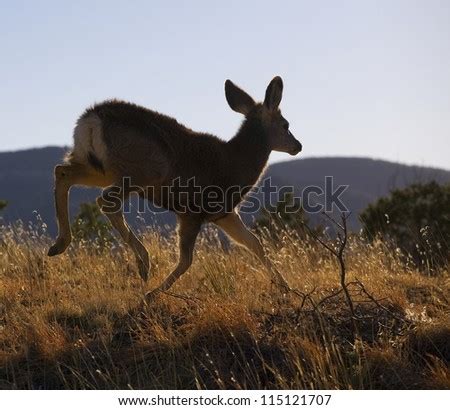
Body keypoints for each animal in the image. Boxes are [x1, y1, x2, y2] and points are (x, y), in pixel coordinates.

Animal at [47, 77, 302, 298]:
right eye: (285, 124)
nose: (298, 145)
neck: (237, 163)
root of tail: (92, 118)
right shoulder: (193, 211)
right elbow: (186, 260)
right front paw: (152, 294)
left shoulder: (224, 213)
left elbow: (254, 244)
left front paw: (287, 288)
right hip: (144, 170)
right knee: (105, 200)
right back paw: (143, 262)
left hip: (99, 166)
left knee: (62, 171)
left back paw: (59, 244)